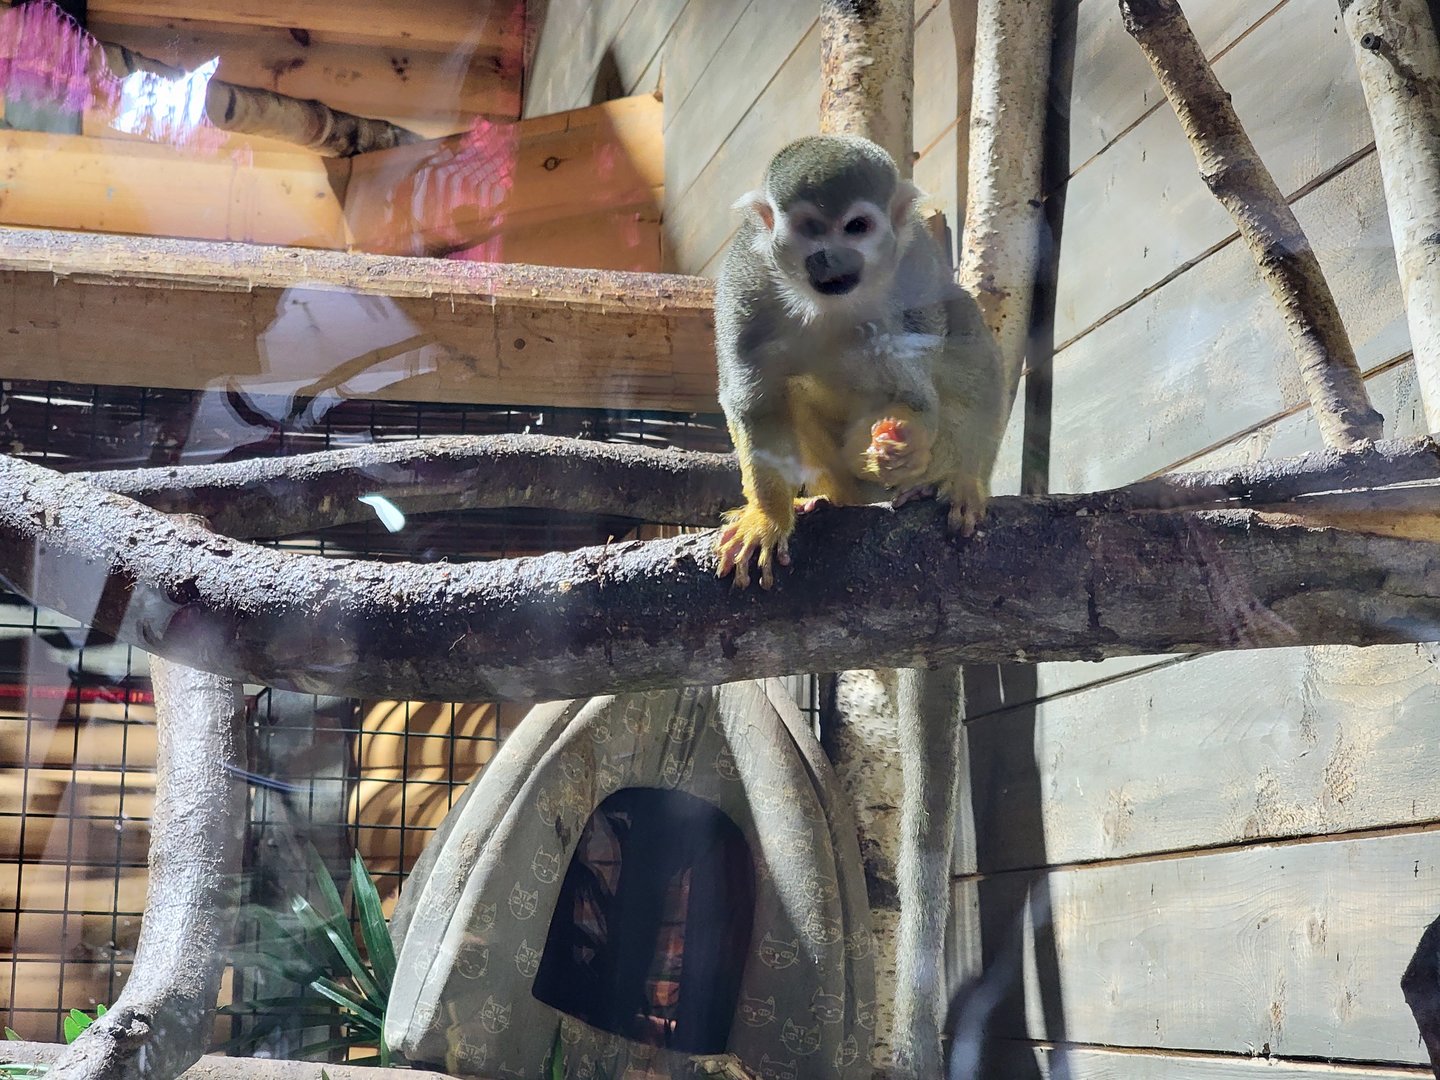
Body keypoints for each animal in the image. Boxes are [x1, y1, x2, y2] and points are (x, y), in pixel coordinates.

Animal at [711, 134, 1010, 1078]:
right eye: (807, 229)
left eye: (857, 227)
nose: (827, 264)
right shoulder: (746, 279)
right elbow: (751, 391)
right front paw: (767, 516)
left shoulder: (913, 266)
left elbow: (940, 351)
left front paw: (921, 455)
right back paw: (835, 495)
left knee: (948, 338)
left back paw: (929, 476)